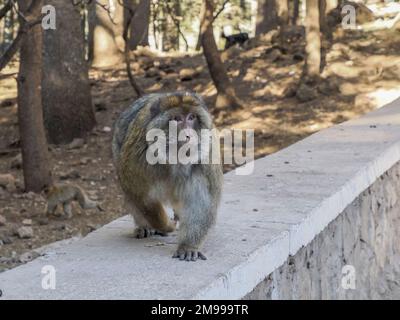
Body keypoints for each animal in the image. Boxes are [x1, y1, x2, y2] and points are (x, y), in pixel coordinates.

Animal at [112, 91, 223, 262]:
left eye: (191, 117)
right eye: (177, 119)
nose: (189, 135)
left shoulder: (206, 156)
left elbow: (202, 201)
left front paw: (188, 246)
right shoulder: (138, 157)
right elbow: (140, 195)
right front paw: (166, 225)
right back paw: (145, 226)